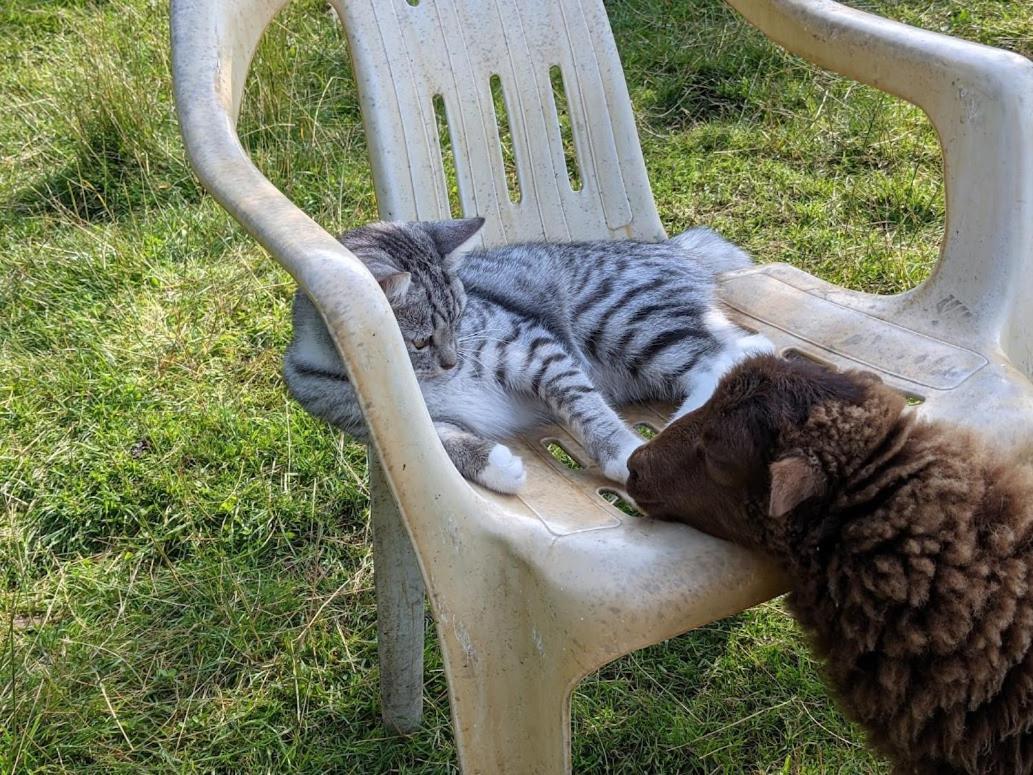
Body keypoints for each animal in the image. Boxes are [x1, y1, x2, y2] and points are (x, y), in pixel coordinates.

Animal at [285, 219, 776, 493]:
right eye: (420, 341)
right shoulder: (390, 429)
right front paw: (494, 467)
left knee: (714, 362)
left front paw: (622, 454)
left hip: (619, 320)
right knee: (739, 347)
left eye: (459, 319)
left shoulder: (534, 346)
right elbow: (445, 443)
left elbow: (583, 404)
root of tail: (672, 245)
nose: (452, 362)